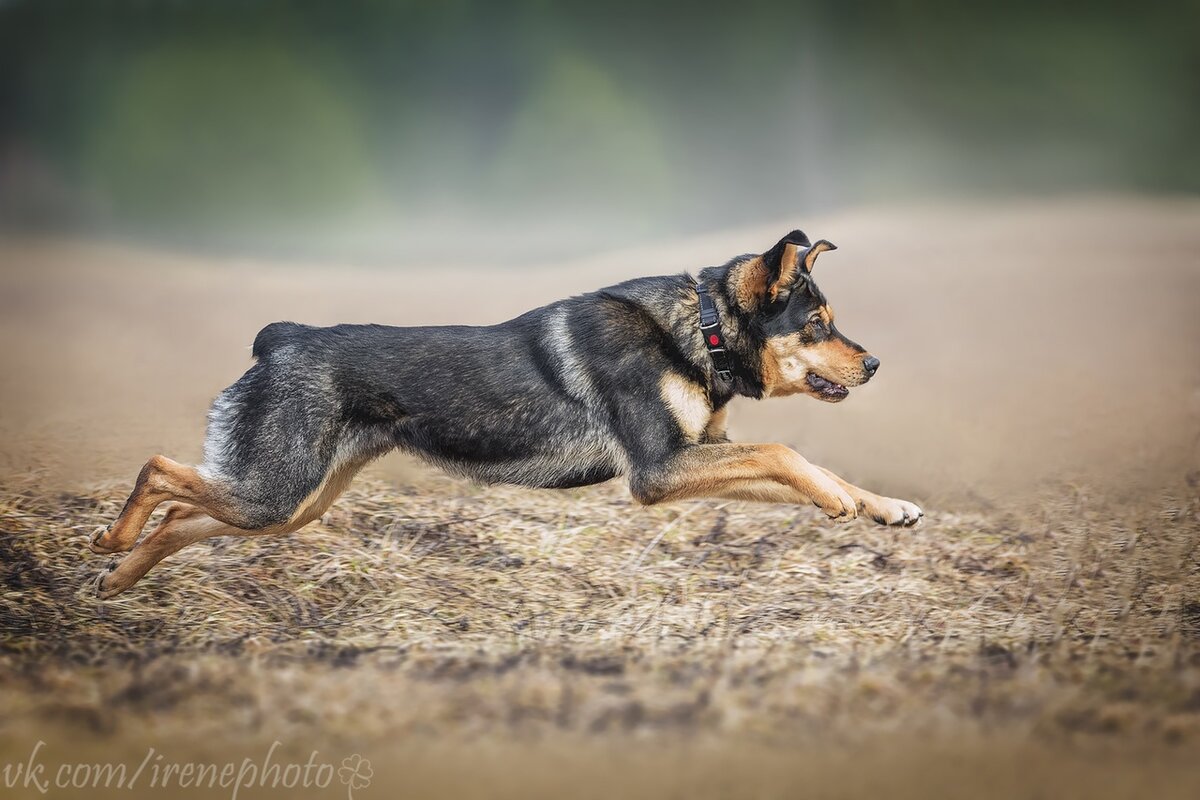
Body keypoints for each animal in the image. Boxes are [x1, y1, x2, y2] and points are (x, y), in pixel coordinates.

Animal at [88, 227, 921, 597]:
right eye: (818, 324)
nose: (877, 363)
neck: (703, 332)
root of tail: (282, 337)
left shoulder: (695, 458)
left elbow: (796, 466)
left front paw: (884, 507)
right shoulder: (658, 472)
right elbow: (788, 454)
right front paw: (843, 502)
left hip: (290, 504)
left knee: (184, 514)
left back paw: (119, 575)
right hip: (277, 490)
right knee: (158, 471)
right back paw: (113, 539)